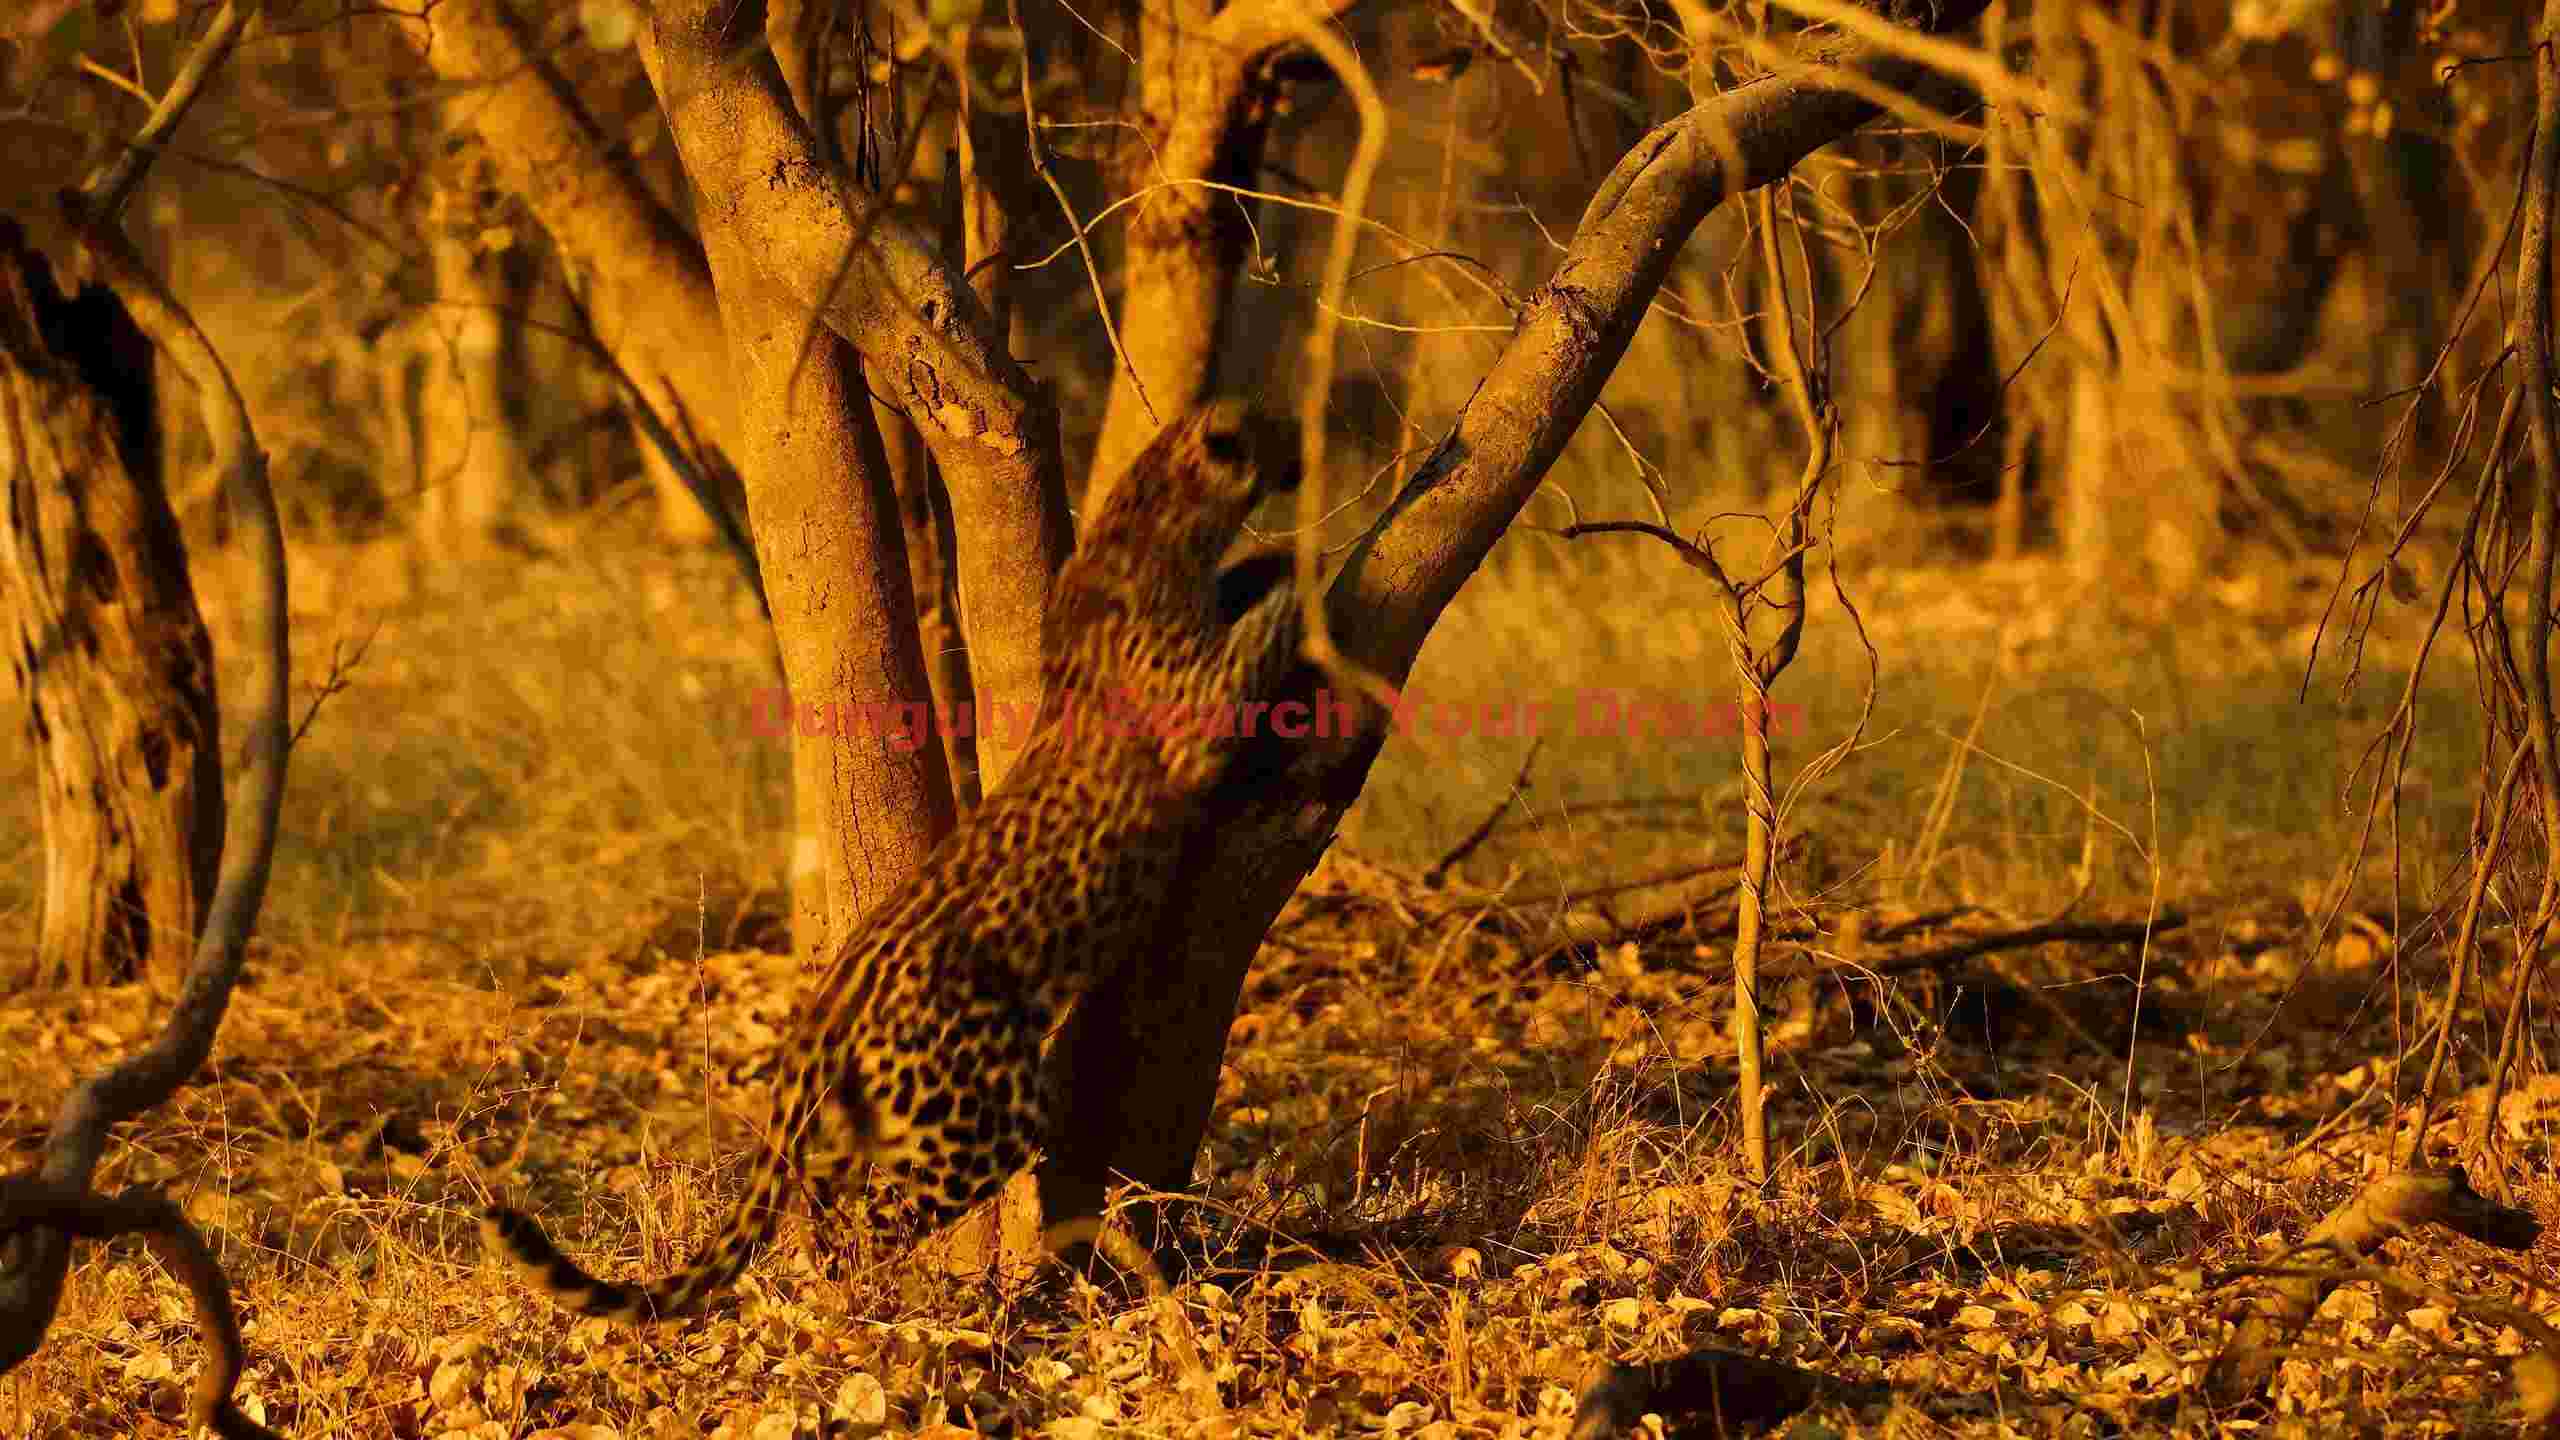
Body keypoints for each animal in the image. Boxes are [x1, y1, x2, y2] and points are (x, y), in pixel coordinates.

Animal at [482, 402, 1308, 1322]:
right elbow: (1256, 638)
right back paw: (911, 1300)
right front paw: (1295, 566)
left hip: (880, 1114)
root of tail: (832, 996)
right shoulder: (1196, 711)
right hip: (980, 1115)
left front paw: (1261, 564)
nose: (1303, 457)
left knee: (823, 1192)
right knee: (885, 1215)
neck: (1156, 520)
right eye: (1277, 428)